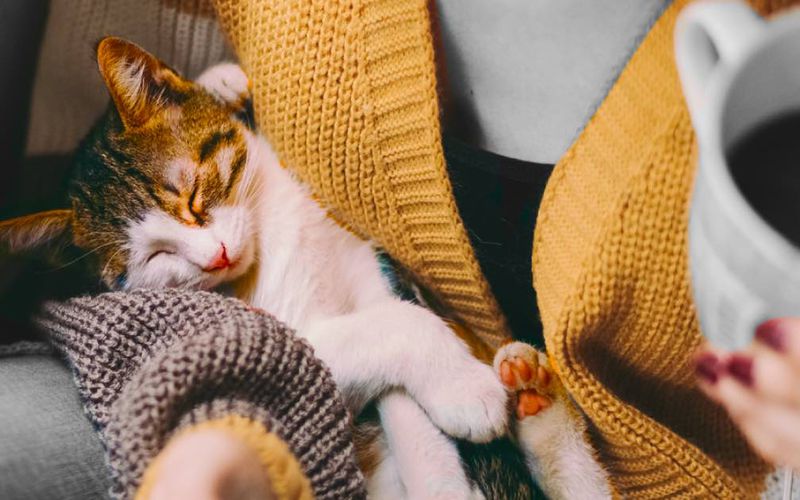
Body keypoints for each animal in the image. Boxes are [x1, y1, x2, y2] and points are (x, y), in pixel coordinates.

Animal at [0, 37, 608, 498]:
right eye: (152, 258)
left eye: (193, 195)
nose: (216, 256)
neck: (271, 235)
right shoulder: (279, 339)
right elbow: (393, 329)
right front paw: (463, 389)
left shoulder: (374, 270)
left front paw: (223, 83)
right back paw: (532, 404)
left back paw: (539, 405)